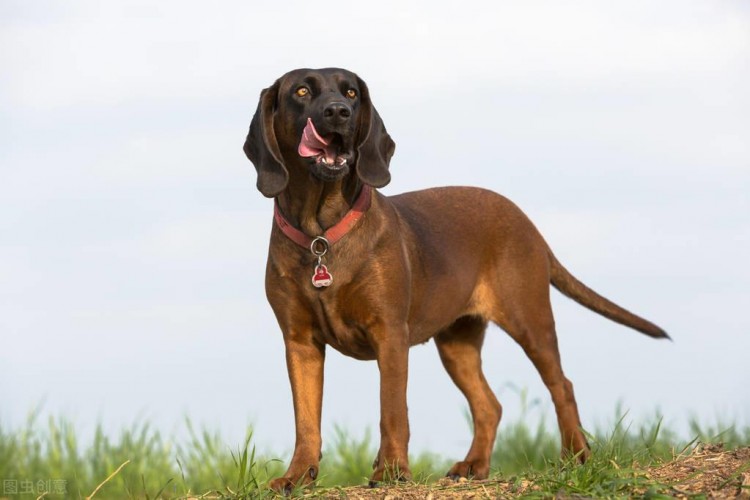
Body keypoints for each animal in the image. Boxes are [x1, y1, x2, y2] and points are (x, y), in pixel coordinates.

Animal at [242, 67, 668, 492]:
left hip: (530, 320)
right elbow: (305, 420)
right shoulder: (300, 342)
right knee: (490, 405)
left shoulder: (389, 334)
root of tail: (528, 222)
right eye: (301, 91)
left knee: (561, 385)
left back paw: (576, 457)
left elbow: (392, 411)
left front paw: (391, 471)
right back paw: (473, 465)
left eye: (351, 93)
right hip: (456, 343)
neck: (322, 235)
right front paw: (297, 475)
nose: (338, 112)